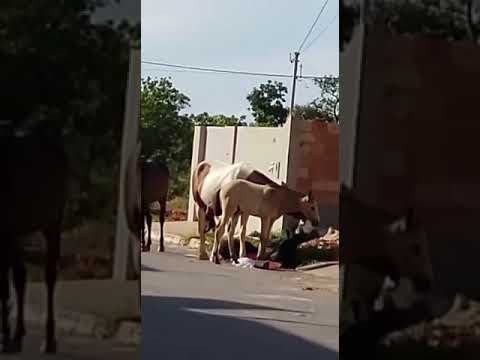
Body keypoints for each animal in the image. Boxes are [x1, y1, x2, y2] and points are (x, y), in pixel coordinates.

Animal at [0, 136, 67, 352]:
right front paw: (8, 335)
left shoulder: (5, 232)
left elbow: (3, 287)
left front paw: (5, 336)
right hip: (19, 232)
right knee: (21, 275)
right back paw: (18, 334)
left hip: (52, 222)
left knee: (49, 275)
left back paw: (49, 340)